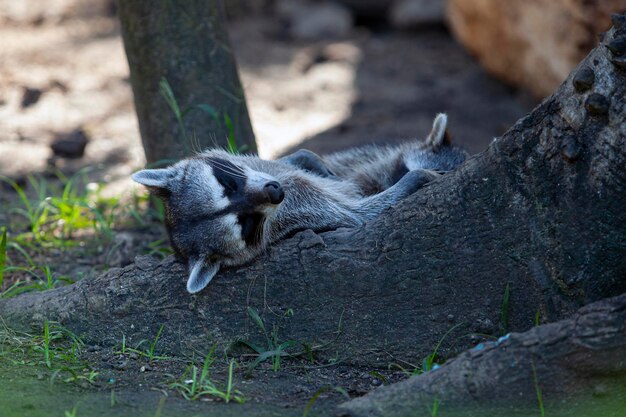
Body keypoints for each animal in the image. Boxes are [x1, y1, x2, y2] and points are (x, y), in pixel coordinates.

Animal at [132, 112, 464, 292]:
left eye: (228, 185)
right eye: (246, 224)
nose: (275, 193)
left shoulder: (265, 168)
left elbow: (299, 161)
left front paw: (307, 159)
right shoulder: (312, 210)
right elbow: (361, 213)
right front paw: (414, 179)